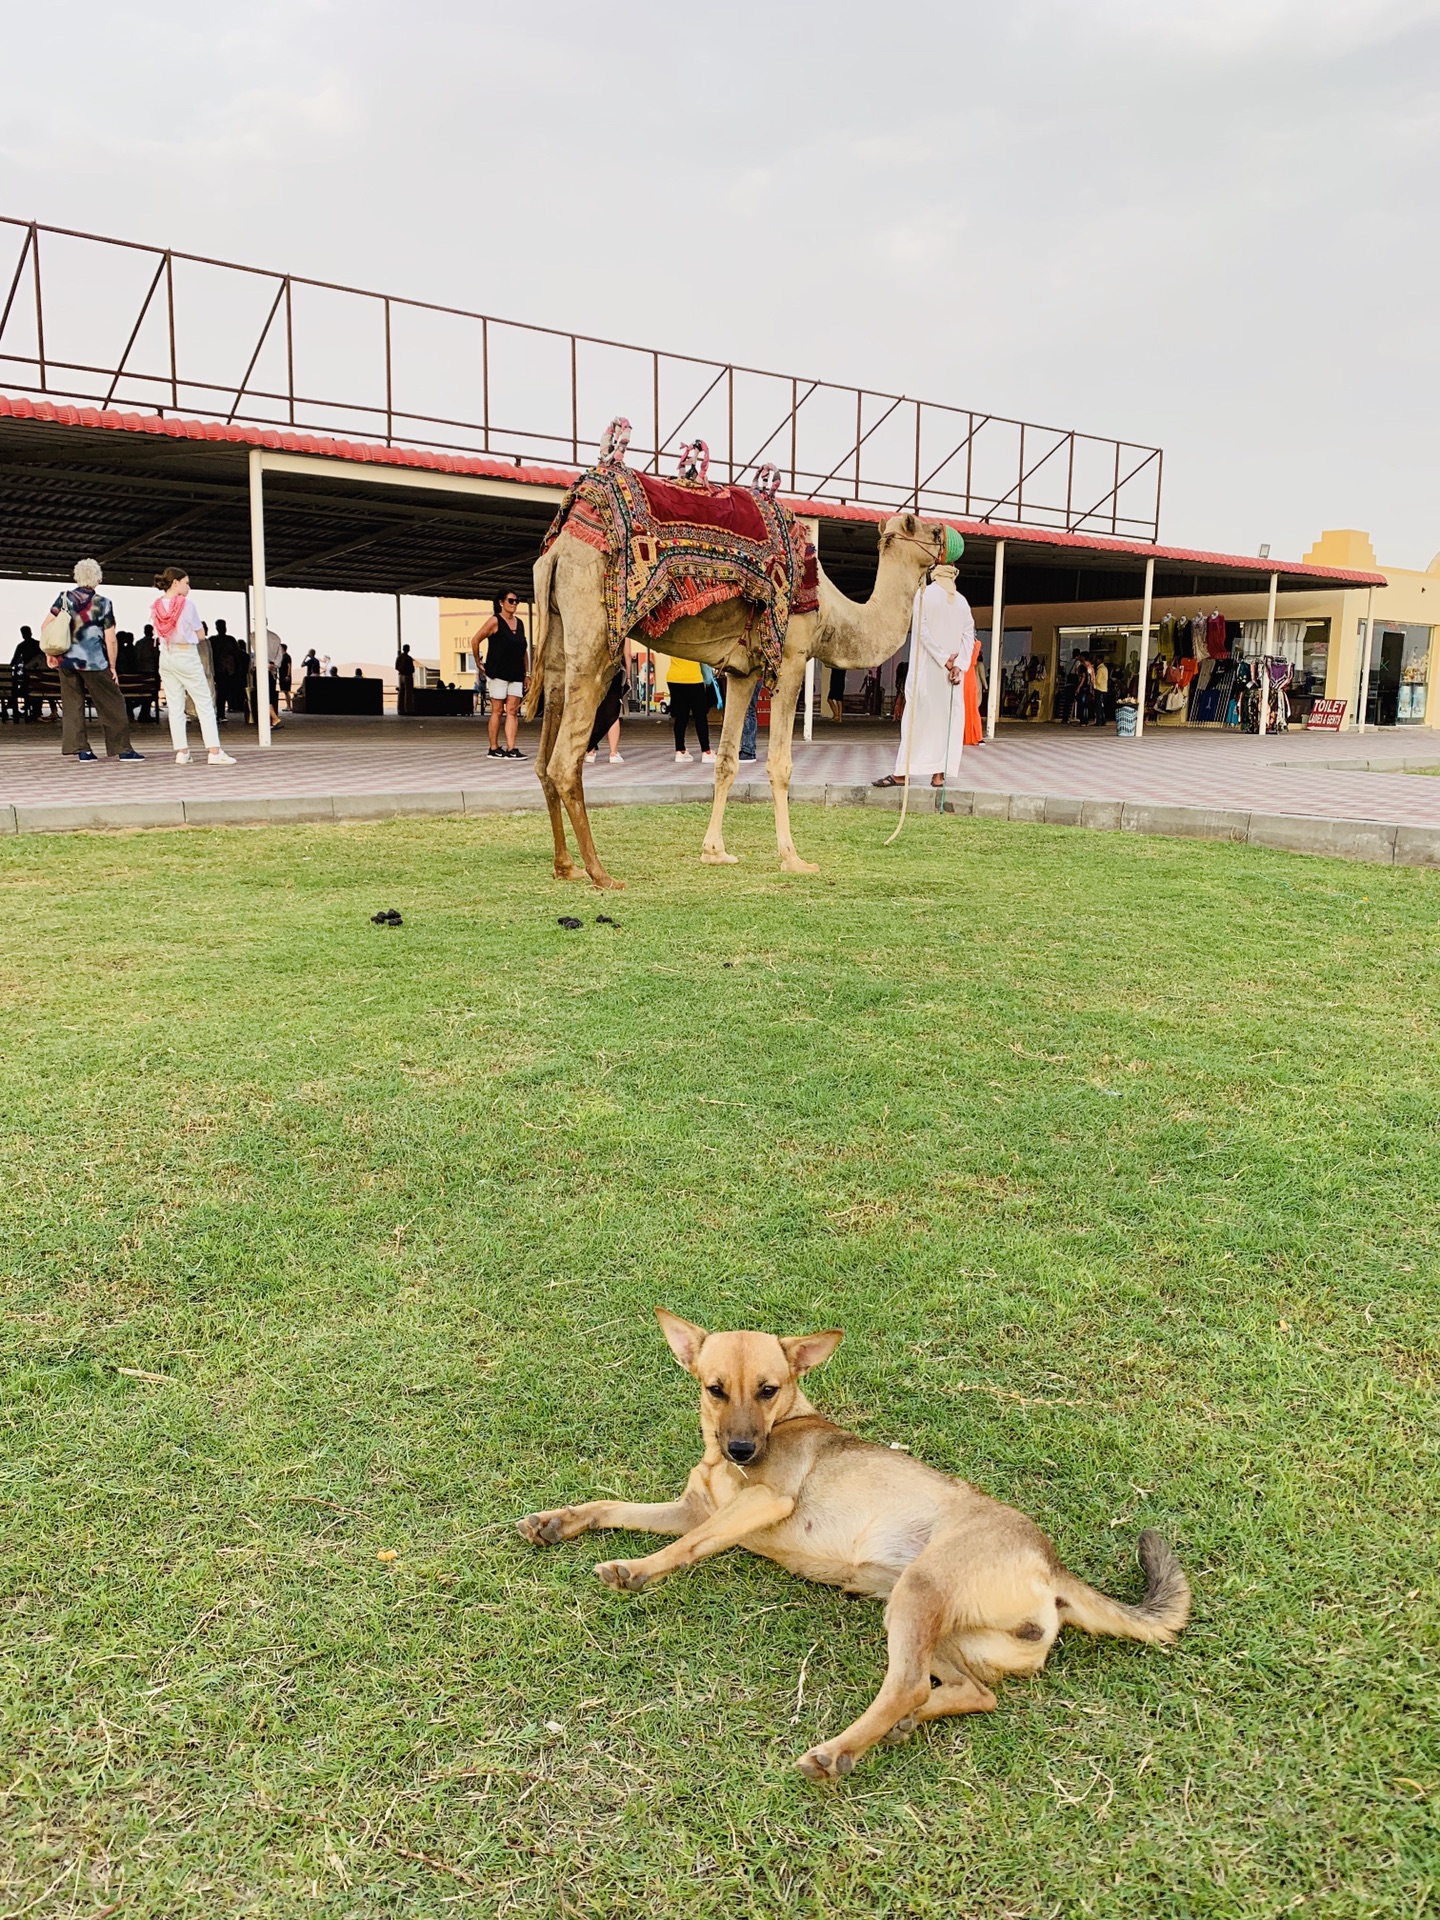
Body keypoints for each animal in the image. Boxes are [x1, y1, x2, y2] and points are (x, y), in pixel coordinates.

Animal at [518, 1313, 1198, 1774]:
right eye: (715, 1388)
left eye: (768, 1390)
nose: (742, 1450)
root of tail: (1051, 1565)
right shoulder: (691, 1510)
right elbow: (611, 1505)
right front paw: (557, 1521)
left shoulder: (758, 1503)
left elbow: (687, 1547)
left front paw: (637, 1569)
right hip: (926, 1620)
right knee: (967, 1693)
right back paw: (903, 1727)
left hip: (918, 1590)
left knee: (905, 1687)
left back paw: (838, 1749)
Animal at [526, 499, 948, 879]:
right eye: (930, 531)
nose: (948, 539)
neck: (831, 613)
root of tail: (559, 550)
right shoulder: (792, 656)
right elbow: (780, 764)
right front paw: (793, 859)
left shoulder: (743, 672)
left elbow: (726, 761)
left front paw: (715, 852)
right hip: (595, 635)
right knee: (564, 761)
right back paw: (600, 874)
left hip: (559, 637)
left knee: (544, 759)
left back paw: (566, 867)